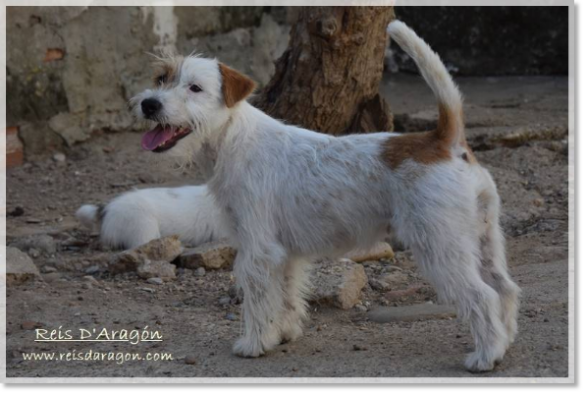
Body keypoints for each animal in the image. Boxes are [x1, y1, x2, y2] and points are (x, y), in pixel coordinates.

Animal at [129, 20, 520, 372]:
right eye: (162, 78)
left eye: (195, 88)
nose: (149, 104)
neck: (233, 139)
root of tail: (444, 141)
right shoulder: (284, 253)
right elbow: (286, 297)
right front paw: (282, 334)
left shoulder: (257, 250)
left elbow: (258, 300)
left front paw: (254, 343)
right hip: (484, 239)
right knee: (505, 288)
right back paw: (504, 344)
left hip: (441, 246)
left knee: (482, 296)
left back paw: (485, 357)